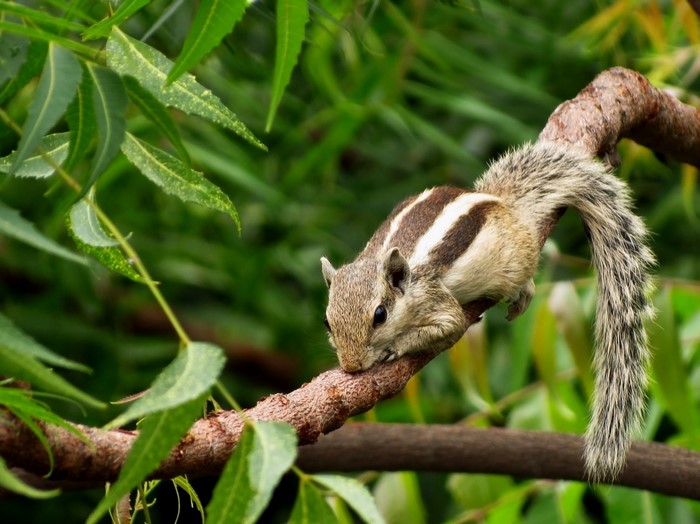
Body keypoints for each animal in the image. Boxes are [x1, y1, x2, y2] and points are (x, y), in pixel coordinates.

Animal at [320, 141, 655, 482]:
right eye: (327, 322)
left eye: (380, 316)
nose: (351, 366)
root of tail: (502, 201)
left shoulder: (435, 300)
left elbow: (450, 325)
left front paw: (395, 347)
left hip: (516, 260)